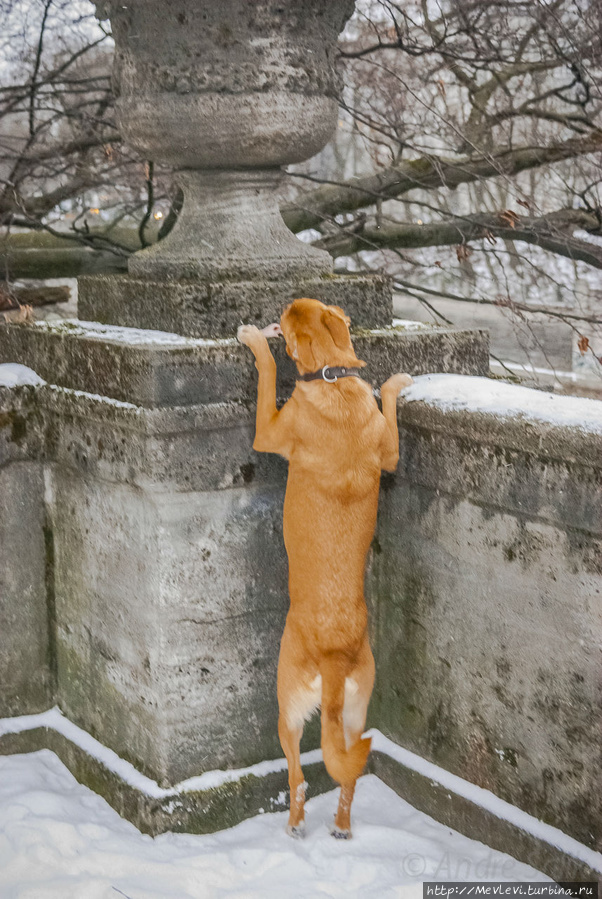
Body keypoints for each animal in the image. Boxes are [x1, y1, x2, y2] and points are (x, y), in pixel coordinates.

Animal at [237, 298, 410, 840]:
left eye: (289, 323)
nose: (277, 309)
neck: (334, 379)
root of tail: (334, 656)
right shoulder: (389, 451)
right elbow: (390, 413)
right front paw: (396, 383)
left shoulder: (268, 430)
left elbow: (268, 372)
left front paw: (256, 341)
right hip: (354, 716)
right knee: (347, 774)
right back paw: (342, 826)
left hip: (287, 709)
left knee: (297, 777)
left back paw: (295, 824)